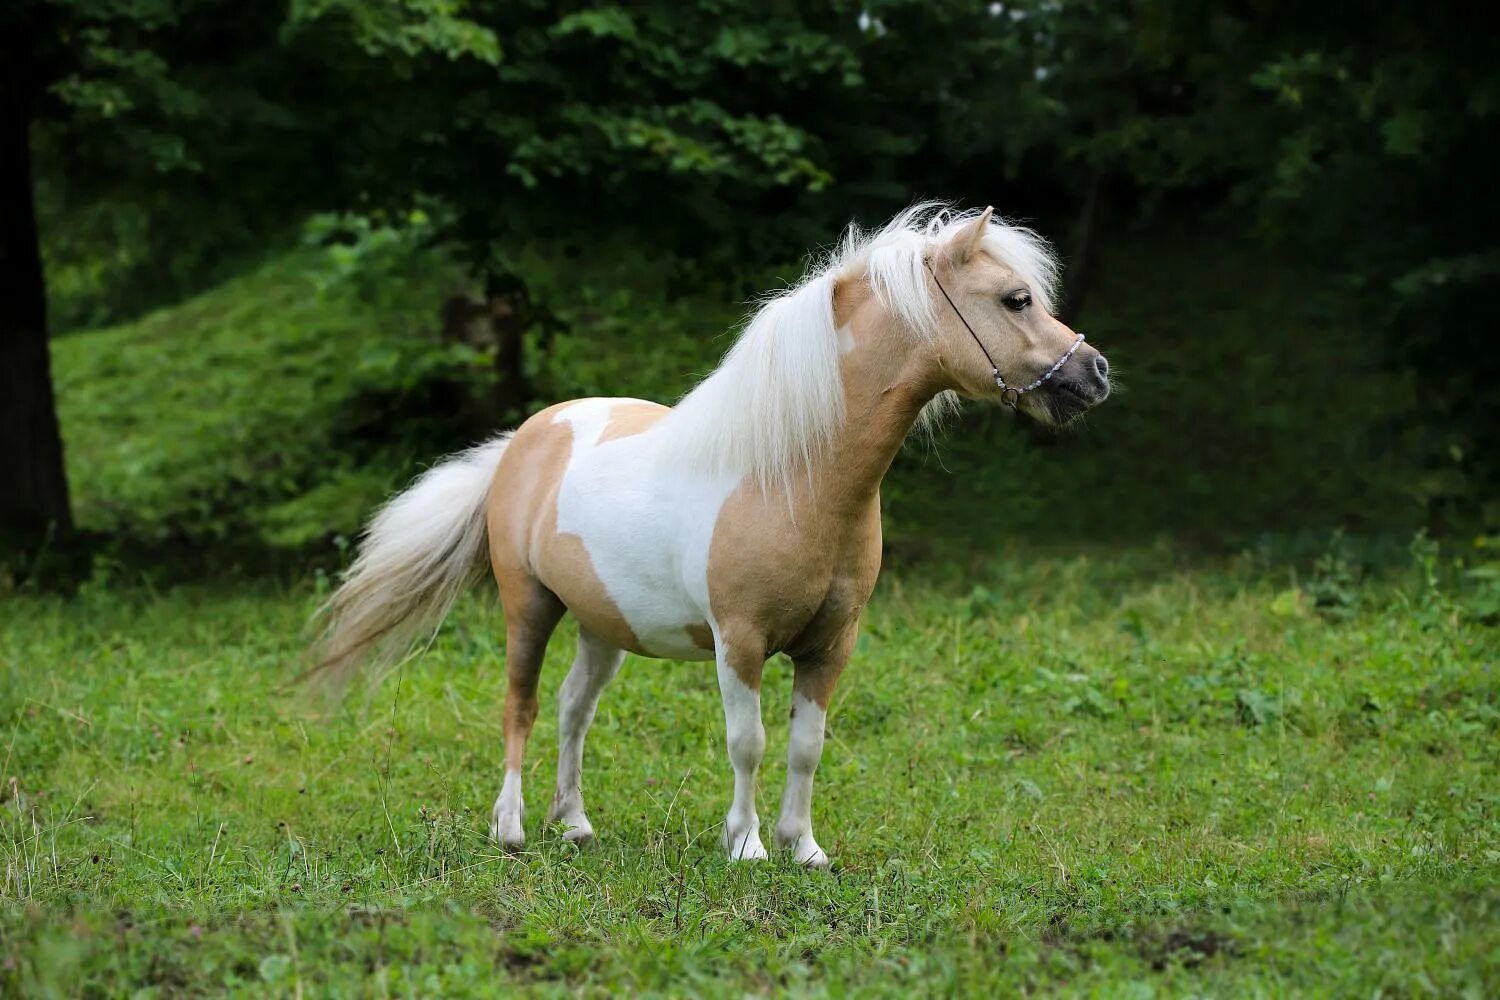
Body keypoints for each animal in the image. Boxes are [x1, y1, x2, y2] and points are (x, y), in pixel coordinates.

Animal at [313, 203, 1116, 869]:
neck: (793, 478)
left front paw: (803, 847)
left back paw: (573, 824)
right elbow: (748, 742)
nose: (1095, 373)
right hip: (529, 607)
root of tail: (527, 438)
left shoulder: (832, 645)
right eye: (1015, 299)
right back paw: (509, 829)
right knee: (523, 704)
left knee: (574, 707)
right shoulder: (741, 642)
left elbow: (805, 745)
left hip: (602, 624)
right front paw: (747, 844)